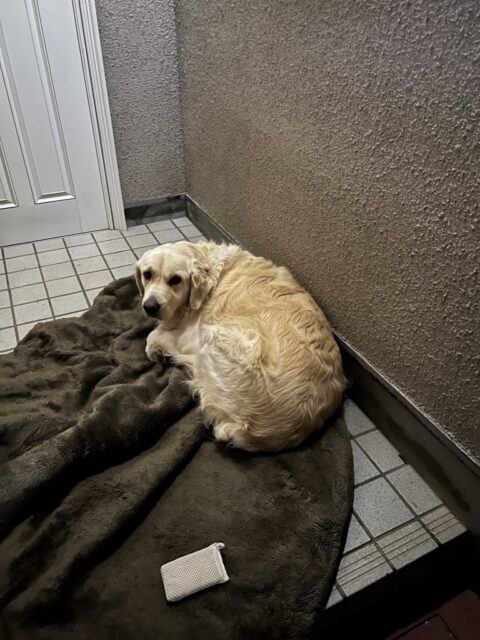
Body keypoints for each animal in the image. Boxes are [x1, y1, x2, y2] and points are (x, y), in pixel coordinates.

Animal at [135, 241, 344, 452]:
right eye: (147, 274)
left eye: (176, 280)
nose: (150, 306)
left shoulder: (190, 335)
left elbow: (152, 337)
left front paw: (157, 347)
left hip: (215, 334)